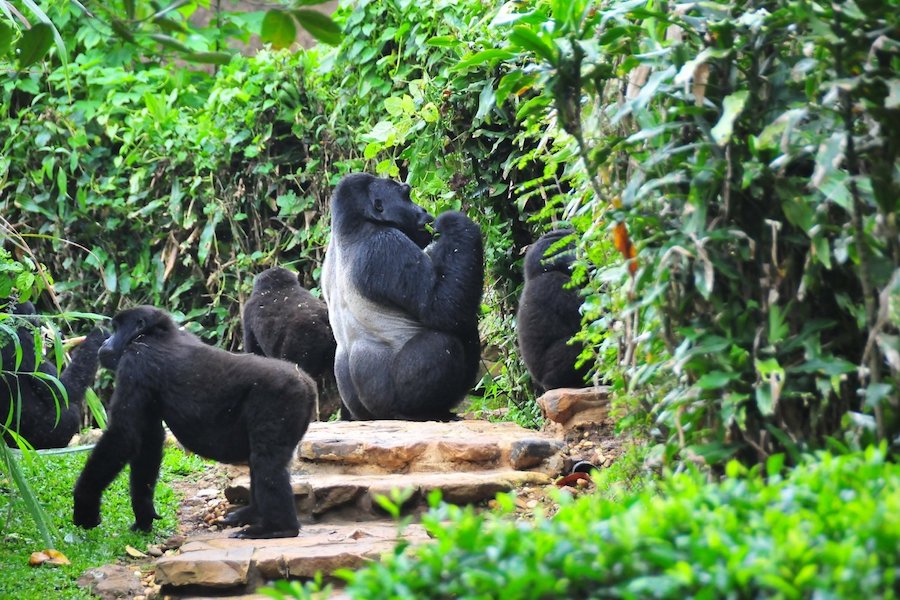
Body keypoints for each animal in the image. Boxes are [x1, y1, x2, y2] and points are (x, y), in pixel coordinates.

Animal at [1, 302, 107, 448]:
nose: (40, 330)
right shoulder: (24, 343)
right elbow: (63, 390)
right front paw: (98, 335)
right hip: (37, 441)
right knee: (70, 412)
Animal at [73, 304, 316, 540]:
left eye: (116, 329)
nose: (105, 342)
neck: (155, 333)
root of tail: (306, 382)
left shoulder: (136, 361)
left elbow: (123, 436)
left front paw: (85, 503)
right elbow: (148, 442)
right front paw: (144, 514)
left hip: (283, 397)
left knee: (267, 461)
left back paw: (278, 528)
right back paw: (252, 514)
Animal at [320, 171, 482, 420]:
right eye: (406, 196)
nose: (423, 209)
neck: (352, 225)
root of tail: (377, 416)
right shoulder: (385, 245)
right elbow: (443, 308)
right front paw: (453, 222)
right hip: (391, 406)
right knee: (444, 341)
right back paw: (429, 411)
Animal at [512, 227, 592, 392]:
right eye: (570, 247)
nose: (583, 255)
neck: (539, 272)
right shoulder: (554, 283)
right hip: (550, 376)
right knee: (581, 340)